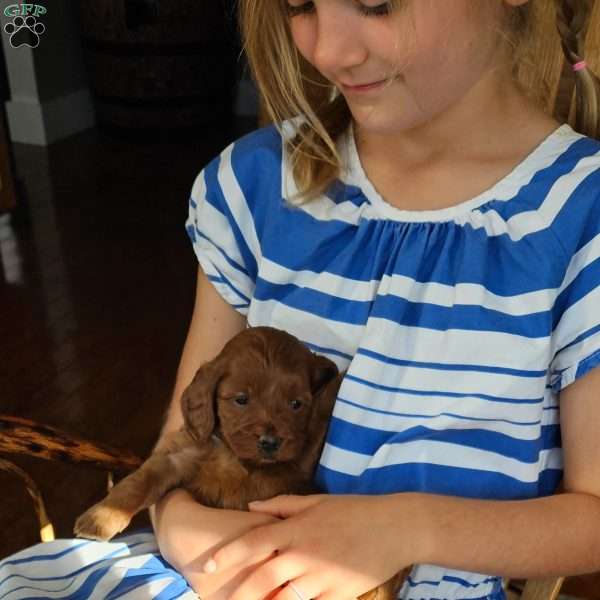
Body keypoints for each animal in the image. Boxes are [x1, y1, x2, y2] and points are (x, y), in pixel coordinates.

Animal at [72, 328, 406, 600]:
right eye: (242, 399)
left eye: (295, 404)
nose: (270, 442)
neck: (238, 459)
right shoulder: (179, 455)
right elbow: (141, 480)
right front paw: (101, 517)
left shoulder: (298, 466)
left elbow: (320, 414)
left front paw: (338, 375)